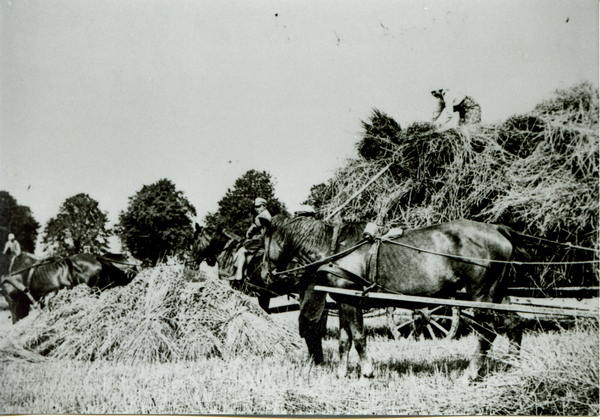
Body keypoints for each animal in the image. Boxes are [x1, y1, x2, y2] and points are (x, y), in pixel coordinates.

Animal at [262, 217, 524, 380]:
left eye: (263, 241)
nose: (265, 275)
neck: (337, 247)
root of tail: (497, 230)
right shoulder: (345, 301)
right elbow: (344, 341)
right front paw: (342, 373)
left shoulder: (351, 301)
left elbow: (359, 337)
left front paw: (367, 372)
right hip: (497, 295)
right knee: (513, 323)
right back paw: (513, 363)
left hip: (481, 296)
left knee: (486, 332)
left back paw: (471, 373)